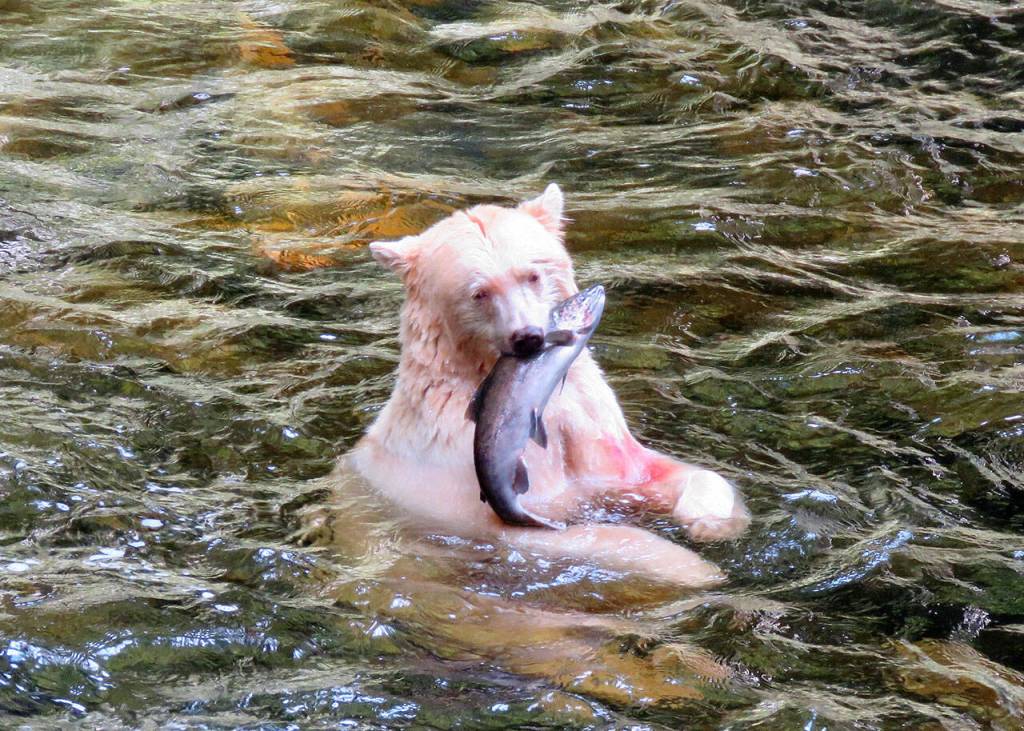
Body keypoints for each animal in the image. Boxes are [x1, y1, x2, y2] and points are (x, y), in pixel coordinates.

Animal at [344, 183, 750, 587]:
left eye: (532, 275)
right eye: (478, 293)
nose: (528, 337)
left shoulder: (586, 423)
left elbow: (645, 471)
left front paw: (710, 521)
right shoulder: (458, 475)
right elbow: (536, 529)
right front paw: (692, 566)